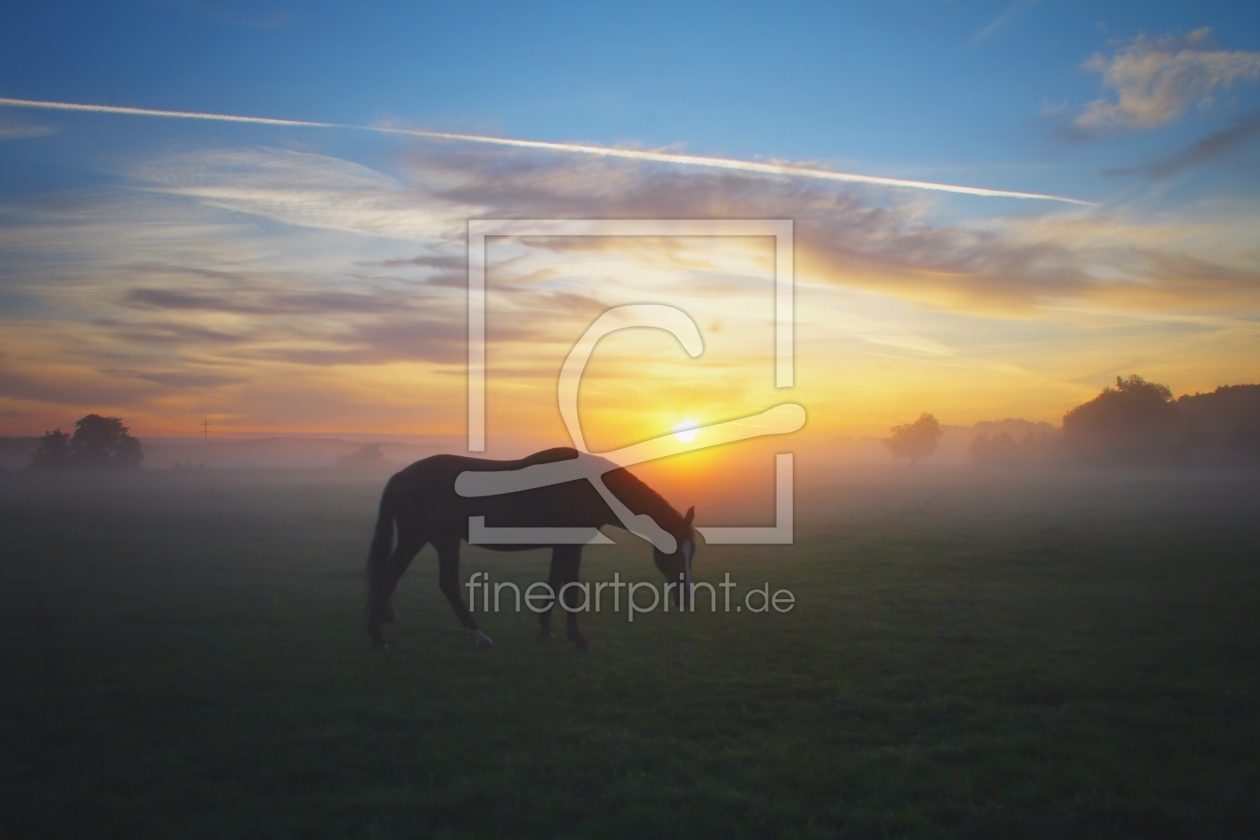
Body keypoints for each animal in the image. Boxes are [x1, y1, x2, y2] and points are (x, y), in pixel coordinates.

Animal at [365, 445, 700, 649]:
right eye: (673, 553)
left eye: (692, 552)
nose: (685, 597)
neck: (585, 487)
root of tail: (401, 476)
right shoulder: (573, 544)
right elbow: (571, 589)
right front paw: (577, 639)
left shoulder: (561, 545)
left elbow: (553, 584)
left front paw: (545, 629)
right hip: (423, 538)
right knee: (401, 577)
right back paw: (381, 638)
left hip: (439, 539)